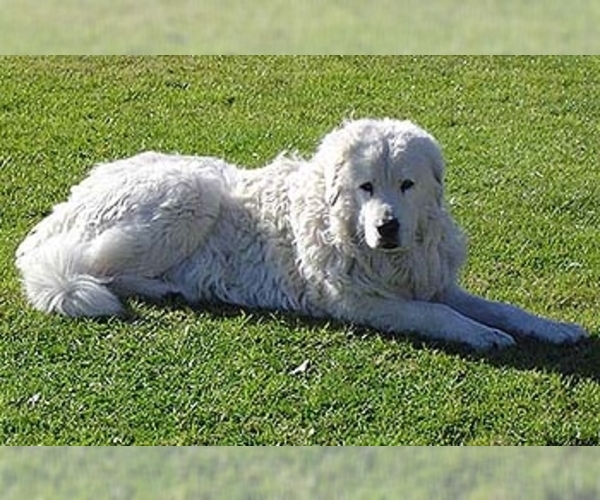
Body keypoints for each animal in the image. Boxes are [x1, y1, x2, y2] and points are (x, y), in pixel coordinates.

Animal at [16, 119, 588, 350]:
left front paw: (552, 327)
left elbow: (499, 307)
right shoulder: (363, 303)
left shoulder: (433, 281)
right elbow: (438, 315)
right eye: (364, 186)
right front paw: (481, 335)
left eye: (406, 184)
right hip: (188, 191)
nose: (387, 227)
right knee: (96, 271)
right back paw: (166, 288)